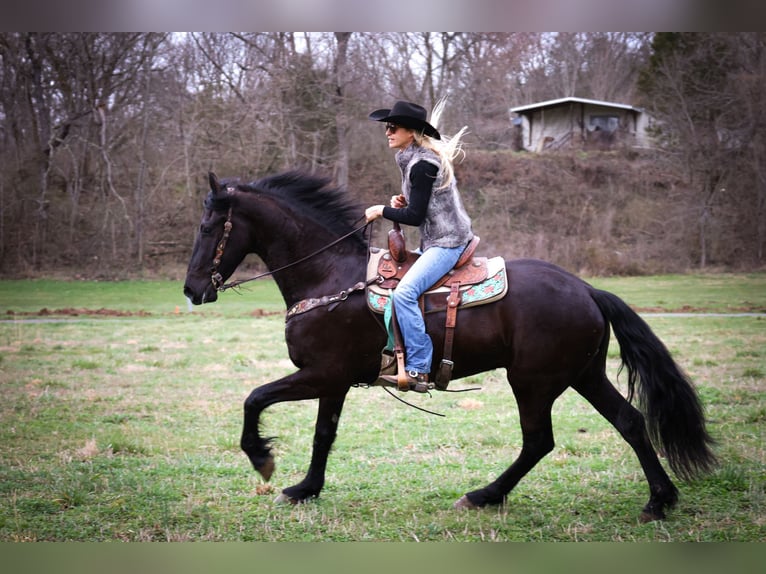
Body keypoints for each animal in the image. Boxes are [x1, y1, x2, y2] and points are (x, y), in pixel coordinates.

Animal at [186, 170, 720, 520]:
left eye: (208, 228)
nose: (192, 290)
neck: (330, 277)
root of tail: (587, 289)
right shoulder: (333, 382)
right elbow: (323, 434)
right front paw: (305, 488)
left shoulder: (319, 375)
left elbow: (254, 398)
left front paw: (262, 458)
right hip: (583, 375)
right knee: (629, 422)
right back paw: (659, 500)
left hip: (533, 381)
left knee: (539, 441)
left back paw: (484, 495)